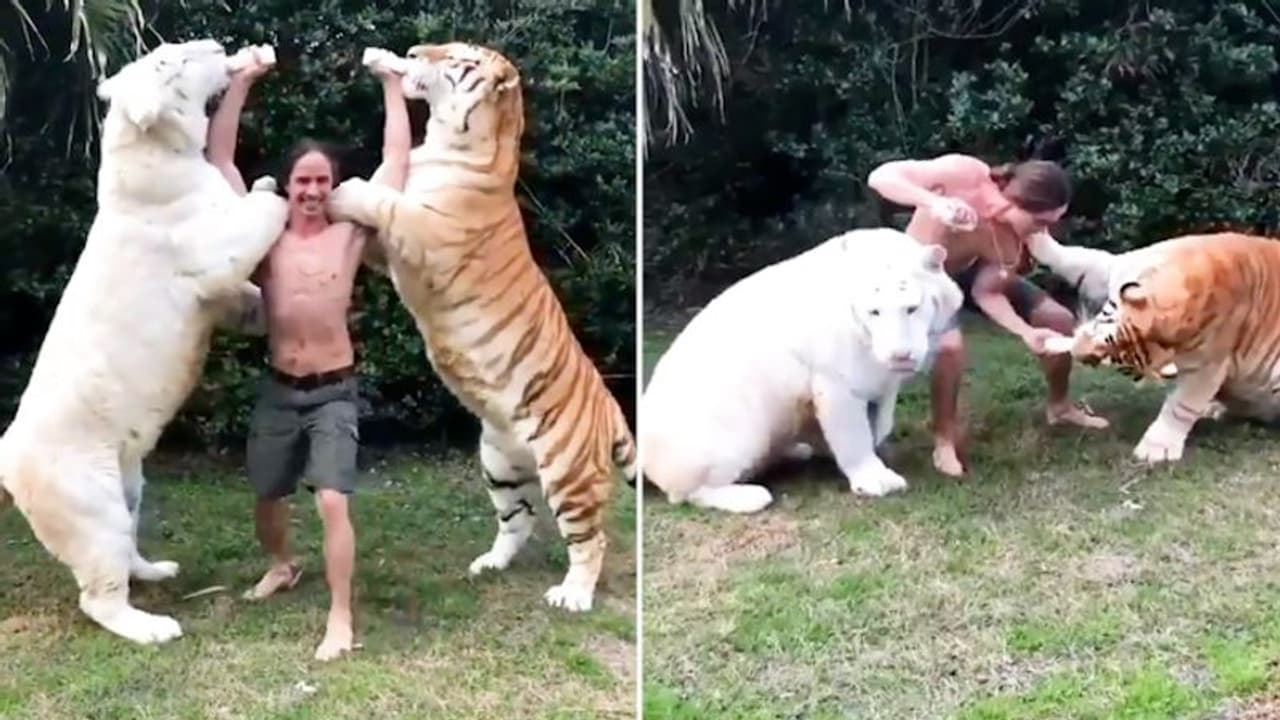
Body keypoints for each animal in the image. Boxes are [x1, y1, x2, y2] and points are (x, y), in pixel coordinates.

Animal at [325, 42, 635, 613]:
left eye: (458, 59)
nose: (413, 50)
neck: (446, 142)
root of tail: (610, 407)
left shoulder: (425, 232)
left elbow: (383, 200)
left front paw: (346, 189)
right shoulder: (383, 248)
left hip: (568, 473)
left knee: (590, 539)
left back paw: (573, 596)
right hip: (499, 460)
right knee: (519, 520)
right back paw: (489, 564)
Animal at [1042, 231, 1280, 463]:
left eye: (1122, 366)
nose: (1081, 357)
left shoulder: (1206, 365)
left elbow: (1182, 406)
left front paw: (1155, 449)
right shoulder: (1115, 266)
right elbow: (1076, 257)